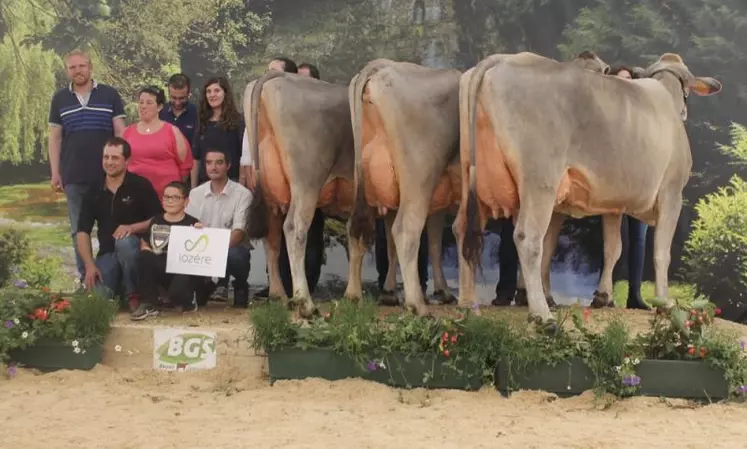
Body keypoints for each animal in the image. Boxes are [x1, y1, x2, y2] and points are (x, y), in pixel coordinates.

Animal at [243, 70, 366, 316]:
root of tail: (276, 77)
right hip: (306, 183)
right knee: (294, 229)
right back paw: (305, 302)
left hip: (271, 194)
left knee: (272, 238)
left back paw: (278, 295)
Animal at [350, 59, 462, 314]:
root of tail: (383, 67)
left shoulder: (439, 198)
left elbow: (434, 242)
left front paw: (443, 291)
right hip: (420, 178)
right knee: (405, 230)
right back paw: (417, 305)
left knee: (360, 229)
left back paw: (356, 295)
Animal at [452, 53, 720, 326]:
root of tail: (504, 59)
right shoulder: (672, 192)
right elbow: (661, 253)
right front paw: (664, 303)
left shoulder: (614, 205)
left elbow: (613, 249)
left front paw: (604, 296)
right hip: (541, 180)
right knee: (528, 238)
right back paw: (542, 314)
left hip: (474, 176)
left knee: (463, 229)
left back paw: (467, 305)